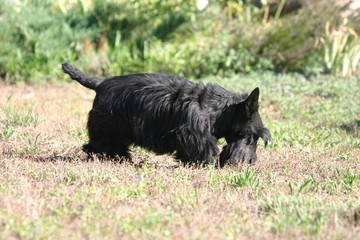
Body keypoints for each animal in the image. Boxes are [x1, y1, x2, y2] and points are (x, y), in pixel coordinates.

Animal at [62, 62, 270, 166]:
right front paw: (205, 163)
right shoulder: (192, 133)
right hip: (107, 126)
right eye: (253, 136)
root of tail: (100, 83)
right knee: (99, 144)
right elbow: (206, 149)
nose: (249, 163)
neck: (216, 111)